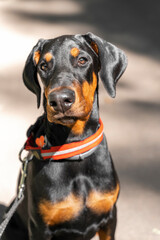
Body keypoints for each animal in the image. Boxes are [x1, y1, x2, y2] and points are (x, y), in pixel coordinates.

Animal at [2, 32, 127, 240]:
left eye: (82, 59)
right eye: (43, 66)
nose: (60, 100)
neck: (74, 147)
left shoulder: (110, 217)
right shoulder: (39, 227)